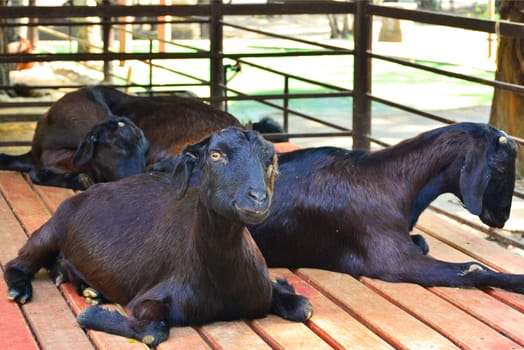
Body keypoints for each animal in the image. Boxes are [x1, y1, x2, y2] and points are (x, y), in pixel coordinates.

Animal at [3, 128, 312, 348]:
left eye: (270, 160)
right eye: (215, 155)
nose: (257, 198)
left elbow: (304, 308)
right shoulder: (150, 297)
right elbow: (153, 331)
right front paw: (90, 315)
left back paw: (85, 286)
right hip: (53, 228)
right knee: (18, 261)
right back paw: (20, 290)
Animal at [247, 123, 524, 292]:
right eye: (500, 169)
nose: (502, 216)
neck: (392, 183)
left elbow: (424, 242)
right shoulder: (394, 261)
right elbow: (473, 268)